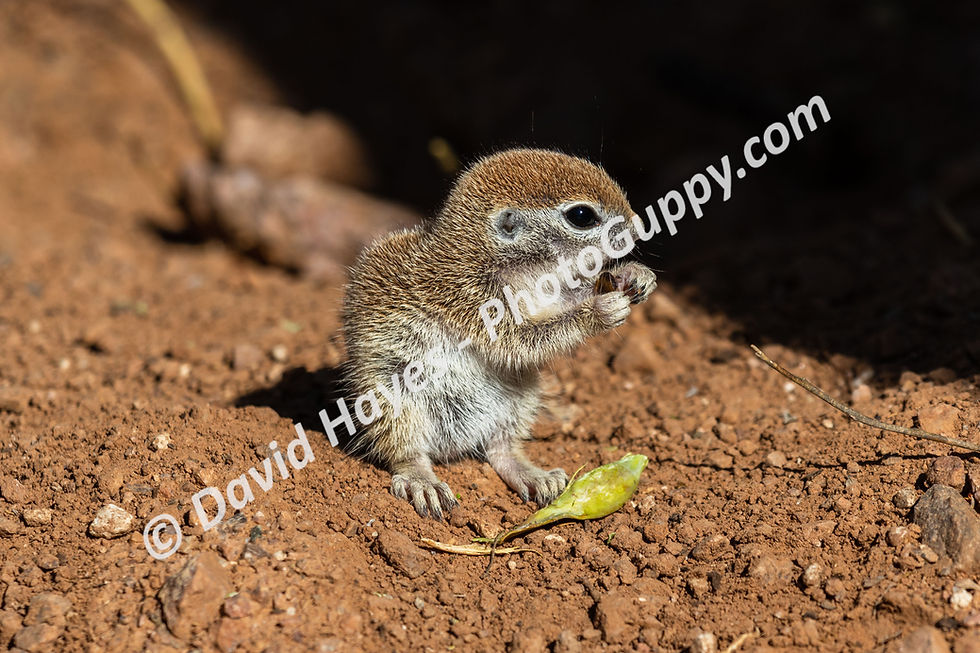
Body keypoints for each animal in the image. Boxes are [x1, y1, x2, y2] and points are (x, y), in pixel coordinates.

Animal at [342, 148, 657, 518]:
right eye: (582, 216)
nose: (640, 226)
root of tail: (454, 447)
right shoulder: (471, 300)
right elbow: (520, 341)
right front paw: (598, 312)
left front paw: (633, 275)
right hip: (392, 401)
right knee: (406, 452)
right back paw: (422, 479)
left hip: (520, 397)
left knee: (500, 448)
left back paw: (529, 474)